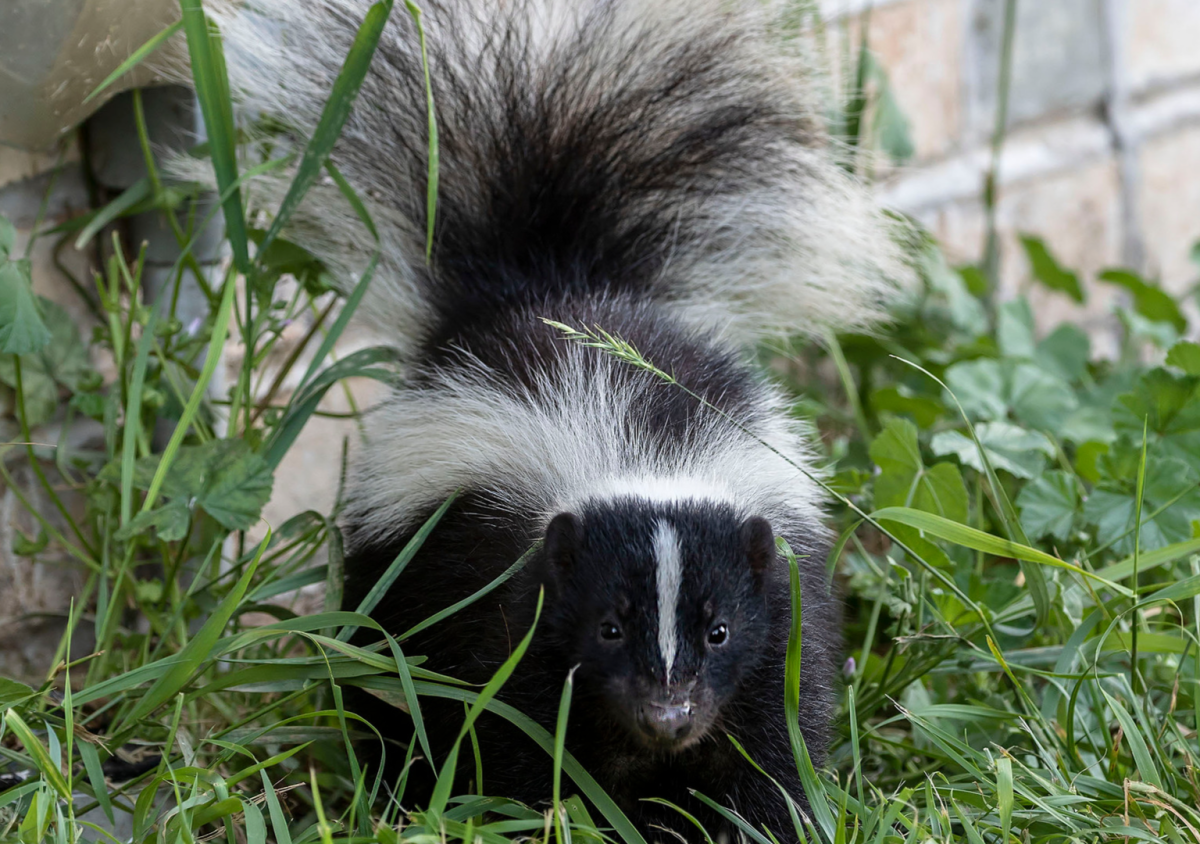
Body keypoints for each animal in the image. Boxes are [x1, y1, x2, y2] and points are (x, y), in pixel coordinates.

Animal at [199, 0, 907, 835]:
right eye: (608, 625)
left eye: (719, 629)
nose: (668, 716)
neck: (643, 454)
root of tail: (546, 287)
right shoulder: (511, 597)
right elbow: (513, 725)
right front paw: (540, 814)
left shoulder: (780, 612)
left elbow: (772, 735)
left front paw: (751, 821)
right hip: (398, 562)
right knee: (386, 675)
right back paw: (394, 779)